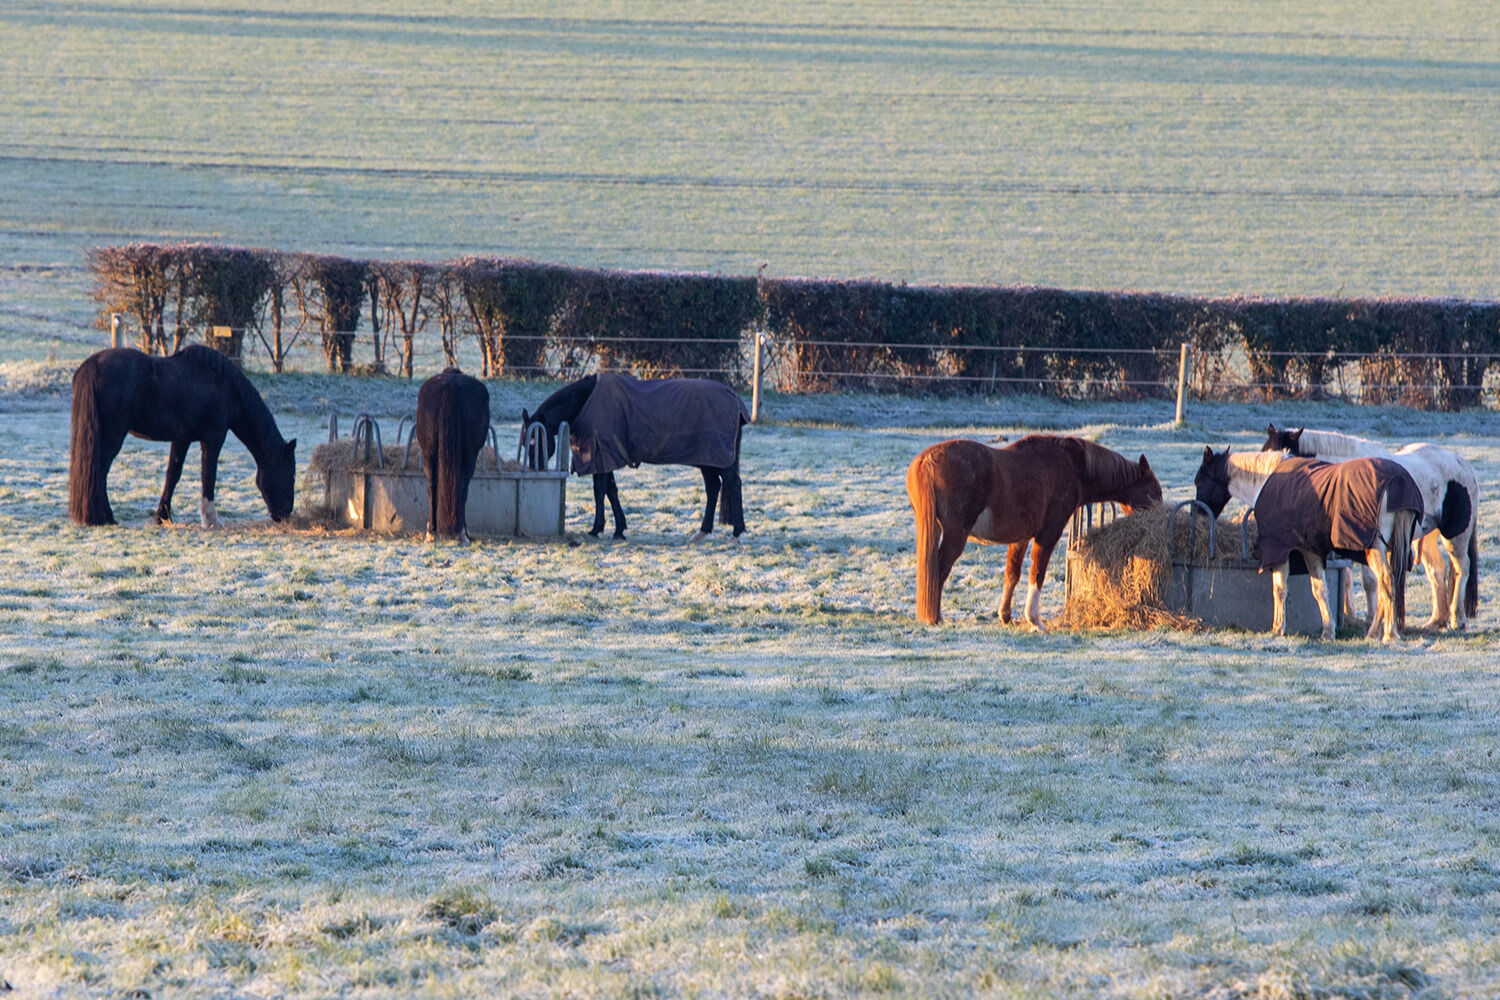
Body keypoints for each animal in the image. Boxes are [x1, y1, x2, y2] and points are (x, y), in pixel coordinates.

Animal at [69, 347, 298, 527]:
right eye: (290, 474)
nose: (285, 515)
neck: (223, 386)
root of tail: (93, 365)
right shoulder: (213, 439)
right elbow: (208, 476)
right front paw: (211, 520)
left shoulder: (181, 439)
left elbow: (173, 475)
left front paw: (163, 517)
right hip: (113, 436)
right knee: (99, 471)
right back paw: (103, 518)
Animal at [414, 367, 489, 542]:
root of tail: (451, 386)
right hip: (469, 456)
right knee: (461, 488)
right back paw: (460, 531)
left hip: (430, 453)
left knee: (433, 486)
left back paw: (432, 532)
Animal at [522, 371, 750, 539]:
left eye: (536, 441)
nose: (536, 469)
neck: (586, 400)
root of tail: (735, 399)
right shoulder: (606, 458)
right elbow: (611, 491)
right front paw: (619, 530)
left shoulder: (601, 456)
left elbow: (599, 491)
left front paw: (597, 529)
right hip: (707, 459)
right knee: (713, 488)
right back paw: (702, 532)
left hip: (719, 458)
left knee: (733, 484)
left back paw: (737, 533)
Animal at [900, 434, 1158, 626]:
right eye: (1154, 491)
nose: (1159, 513)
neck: (1072, 465)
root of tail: (925, 461)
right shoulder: (1048, 533)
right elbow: (1038, 572)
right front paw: (1034, 620)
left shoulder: (1020, 538)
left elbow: (1012, 574)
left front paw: (1005, 616)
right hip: (956, 536)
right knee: (939, 571)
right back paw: (935, 618)